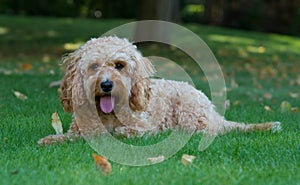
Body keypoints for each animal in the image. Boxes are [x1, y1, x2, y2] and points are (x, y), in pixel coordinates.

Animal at [38, 36, 282, 145]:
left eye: (119, 65)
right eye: (94, 67)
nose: (106, 85)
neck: (108, 113)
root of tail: (214, 112)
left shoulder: (141, 128)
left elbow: (118, 132)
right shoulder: (78, 131)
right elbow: (69, 136)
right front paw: (50, 139)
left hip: (189, 113)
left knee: (207, 131)